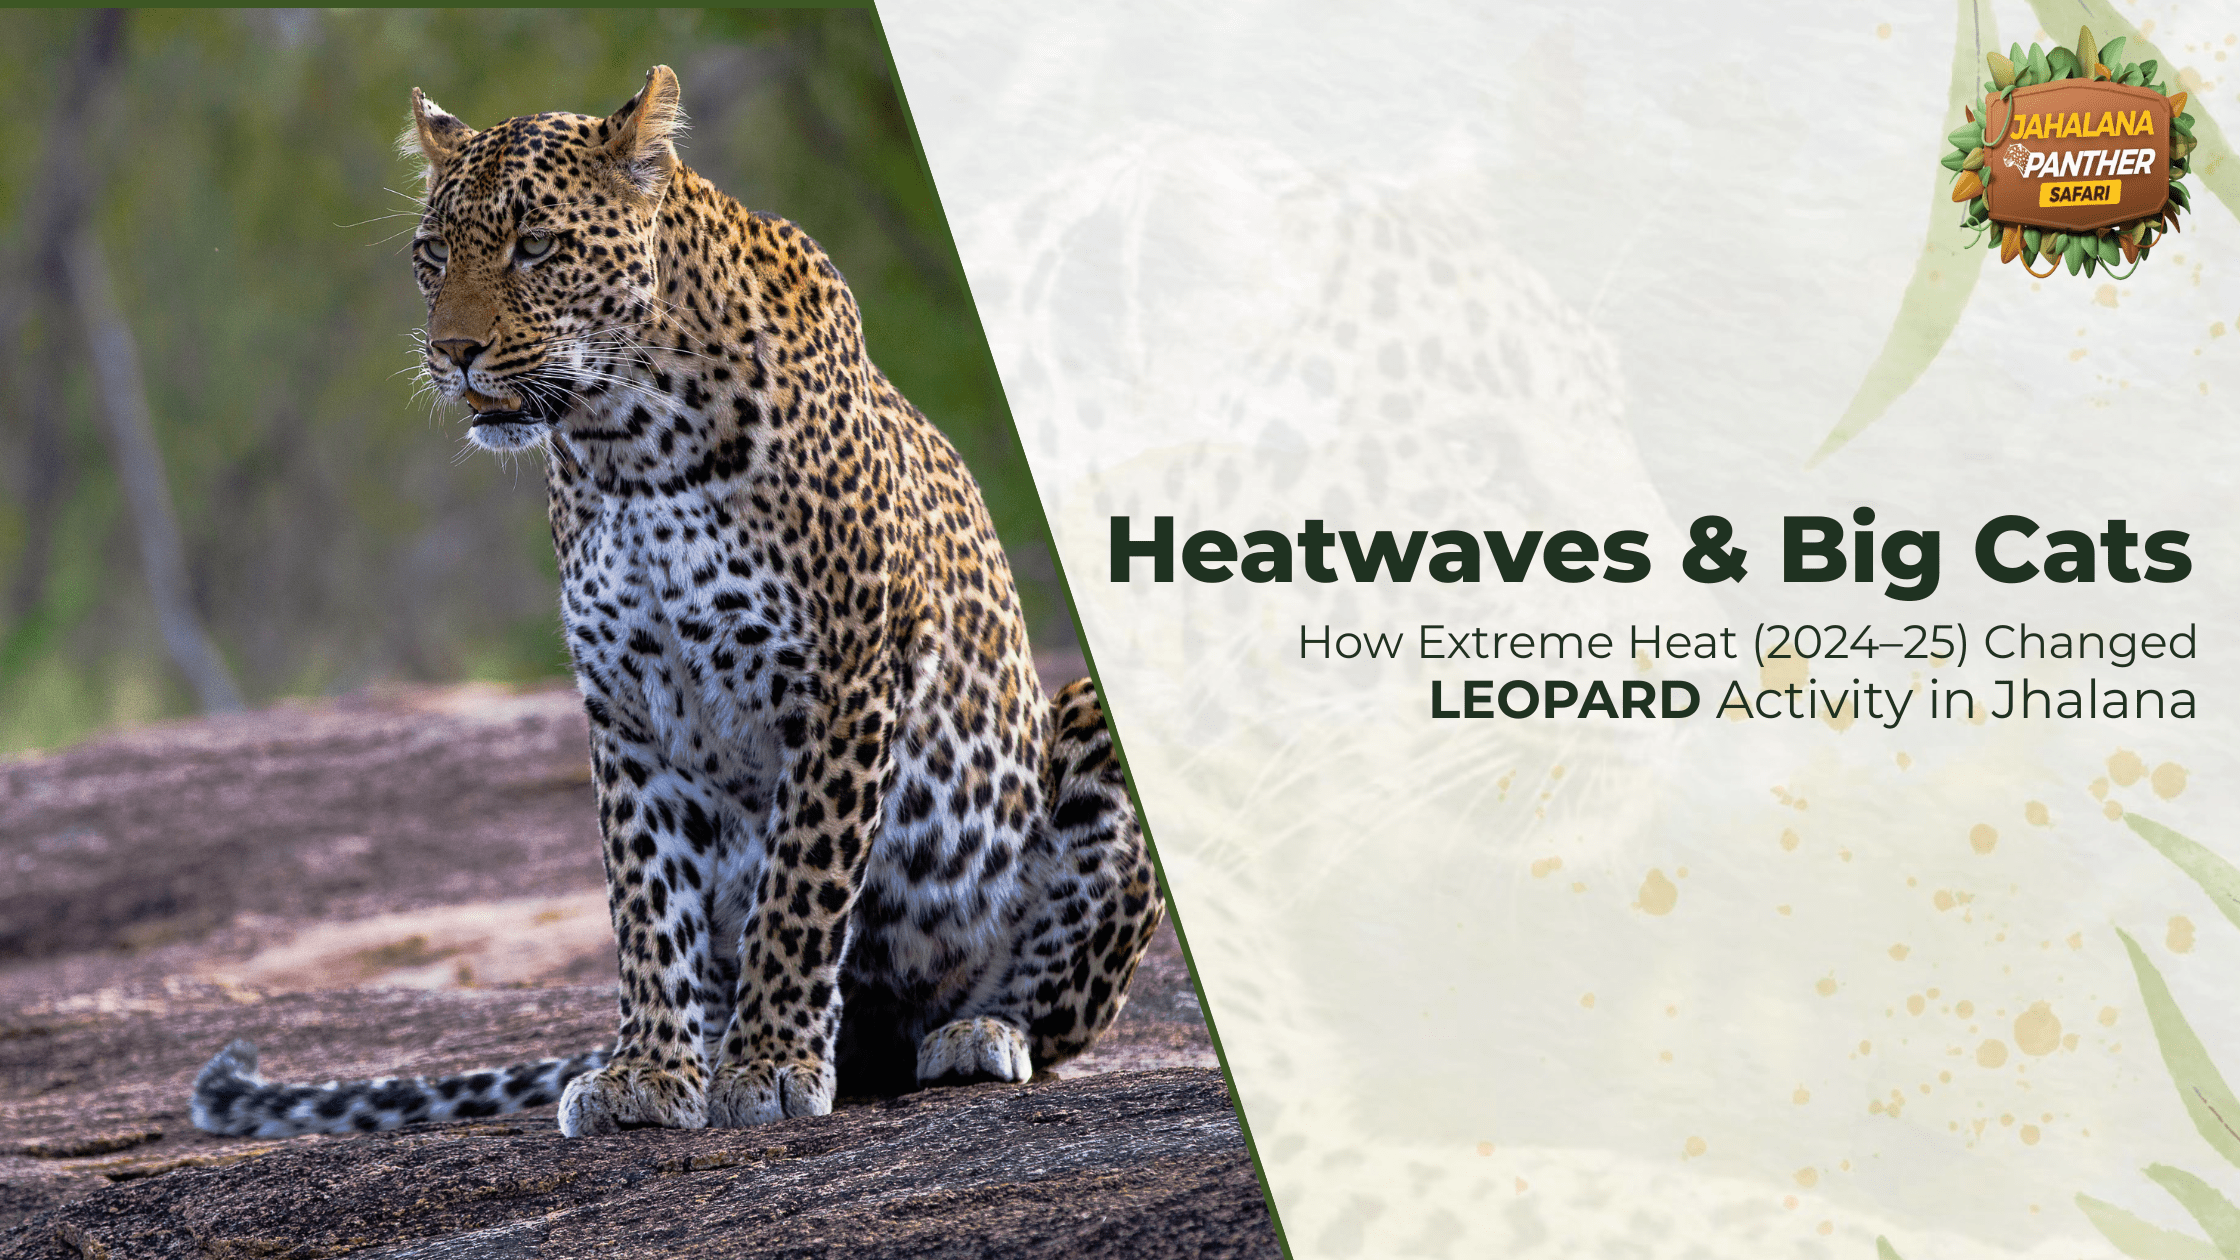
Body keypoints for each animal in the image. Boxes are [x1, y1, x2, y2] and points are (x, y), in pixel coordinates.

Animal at [192, 65, 1163, 1139]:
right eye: (432, 255)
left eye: (537, 246)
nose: (454, 353)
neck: (630, 445)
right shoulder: (626, 708)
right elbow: (644, 901)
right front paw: (649, 1073)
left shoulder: (842, 682)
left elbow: (801, 890)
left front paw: (770, 1062)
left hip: (1084, 733)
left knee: (1038, 1011)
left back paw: (975, 1034)